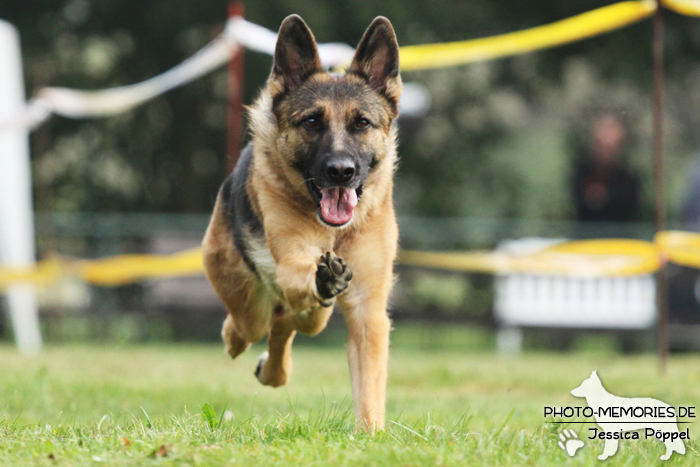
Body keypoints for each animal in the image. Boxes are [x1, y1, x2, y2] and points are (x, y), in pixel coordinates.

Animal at [200, 14, 402, 432]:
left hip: (316, 317)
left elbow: (370, 386)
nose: (341, 171)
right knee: (251, 323)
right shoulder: (294, 263)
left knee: (286, 321)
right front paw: (323, 277)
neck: (336, 232)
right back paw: (236, 339)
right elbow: (302, 274)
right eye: (312, 122)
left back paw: (272, 368)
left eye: (362, 123)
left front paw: (371, 434)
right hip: (243, 292)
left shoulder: (368, 308)